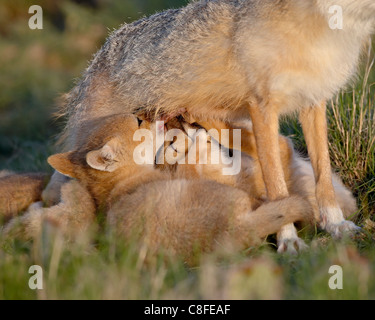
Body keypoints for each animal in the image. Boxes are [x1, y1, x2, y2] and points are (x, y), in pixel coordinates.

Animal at [47, 0, 374, 250]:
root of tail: (97, 58)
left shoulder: (313, 100)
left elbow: (323, 175)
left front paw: (335, 224)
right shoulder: (262, 108)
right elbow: (277, 186)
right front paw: (288, 238)